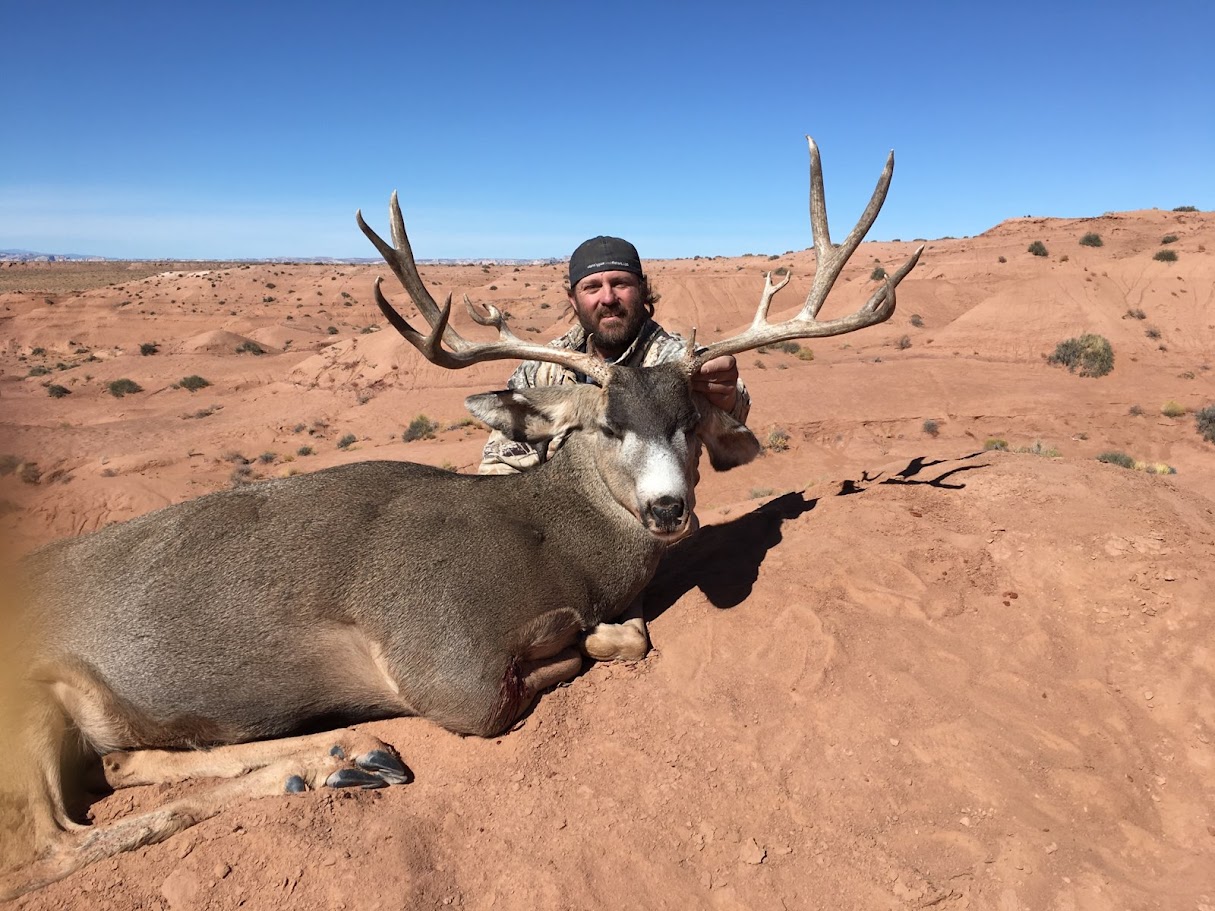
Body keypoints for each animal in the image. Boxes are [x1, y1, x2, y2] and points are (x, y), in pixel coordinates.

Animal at [0, 137, 918, 898]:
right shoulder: (442, 658)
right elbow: (544, 673)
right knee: (50, 844)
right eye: (603, 426)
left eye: (690, 421)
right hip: (26, 702)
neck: (555, 544)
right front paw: (578, 633)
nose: (668, 508)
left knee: (121, 760)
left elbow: (613, 637)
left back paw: (337, 761)